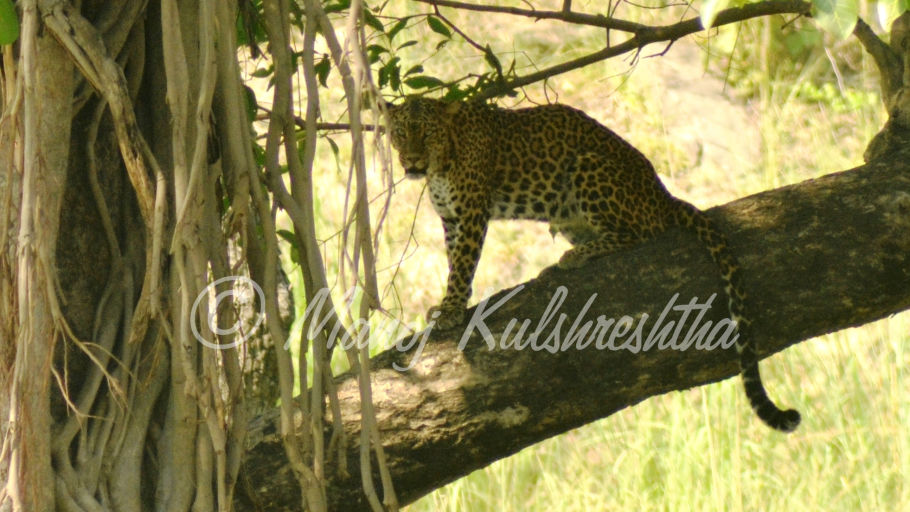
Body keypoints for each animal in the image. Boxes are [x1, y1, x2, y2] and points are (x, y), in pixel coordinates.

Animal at [388, 97, 800, 432]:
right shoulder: (451, 219)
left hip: (587, 168)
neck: (441, 163)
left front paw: (451, 310)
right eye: (399, 134)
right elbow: (453, 259)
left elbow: (462, 265)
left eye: (426, 133)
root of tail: (662, 194)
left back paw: (576, 256)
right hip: (567, 209)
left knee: (637, 234)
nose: (412, 162)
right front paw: (449, 303)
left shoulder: (472, 212)